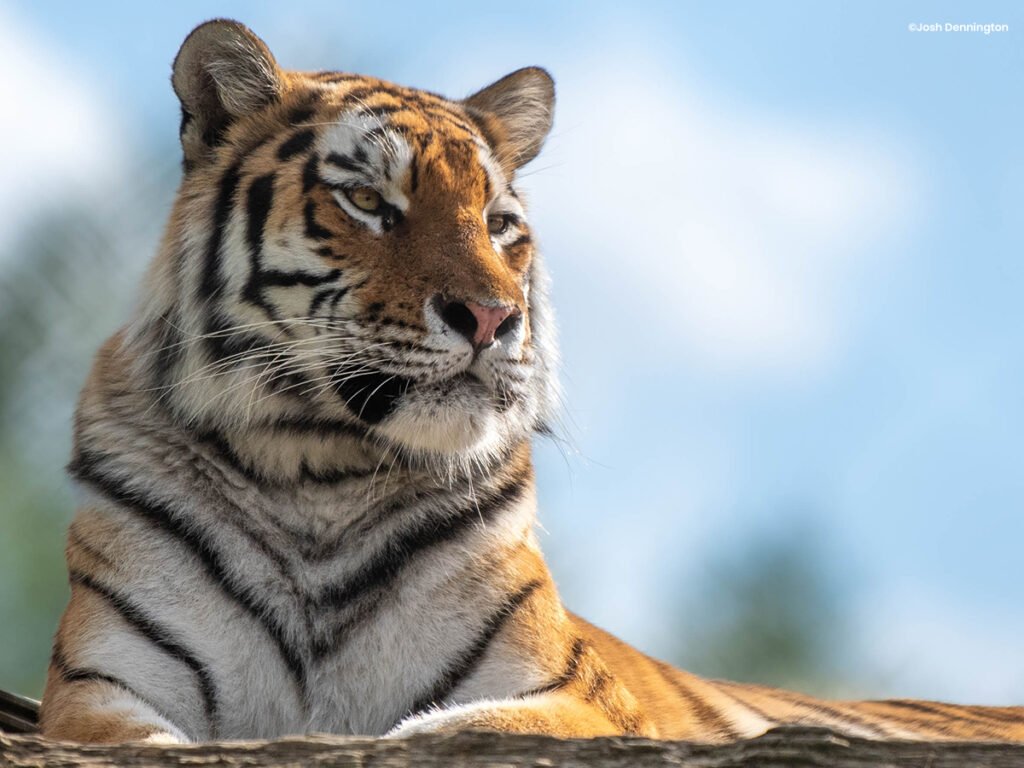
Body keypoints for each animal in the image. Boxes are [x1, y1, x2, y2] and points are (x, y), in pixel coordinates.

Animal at [37, 18, 1024, 745]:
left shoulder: (568, 696)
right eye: (369, 202)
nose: (491, 318)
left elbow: (447, 730)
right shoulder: (98, 691)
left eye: (499, 222)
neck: (316, 469)